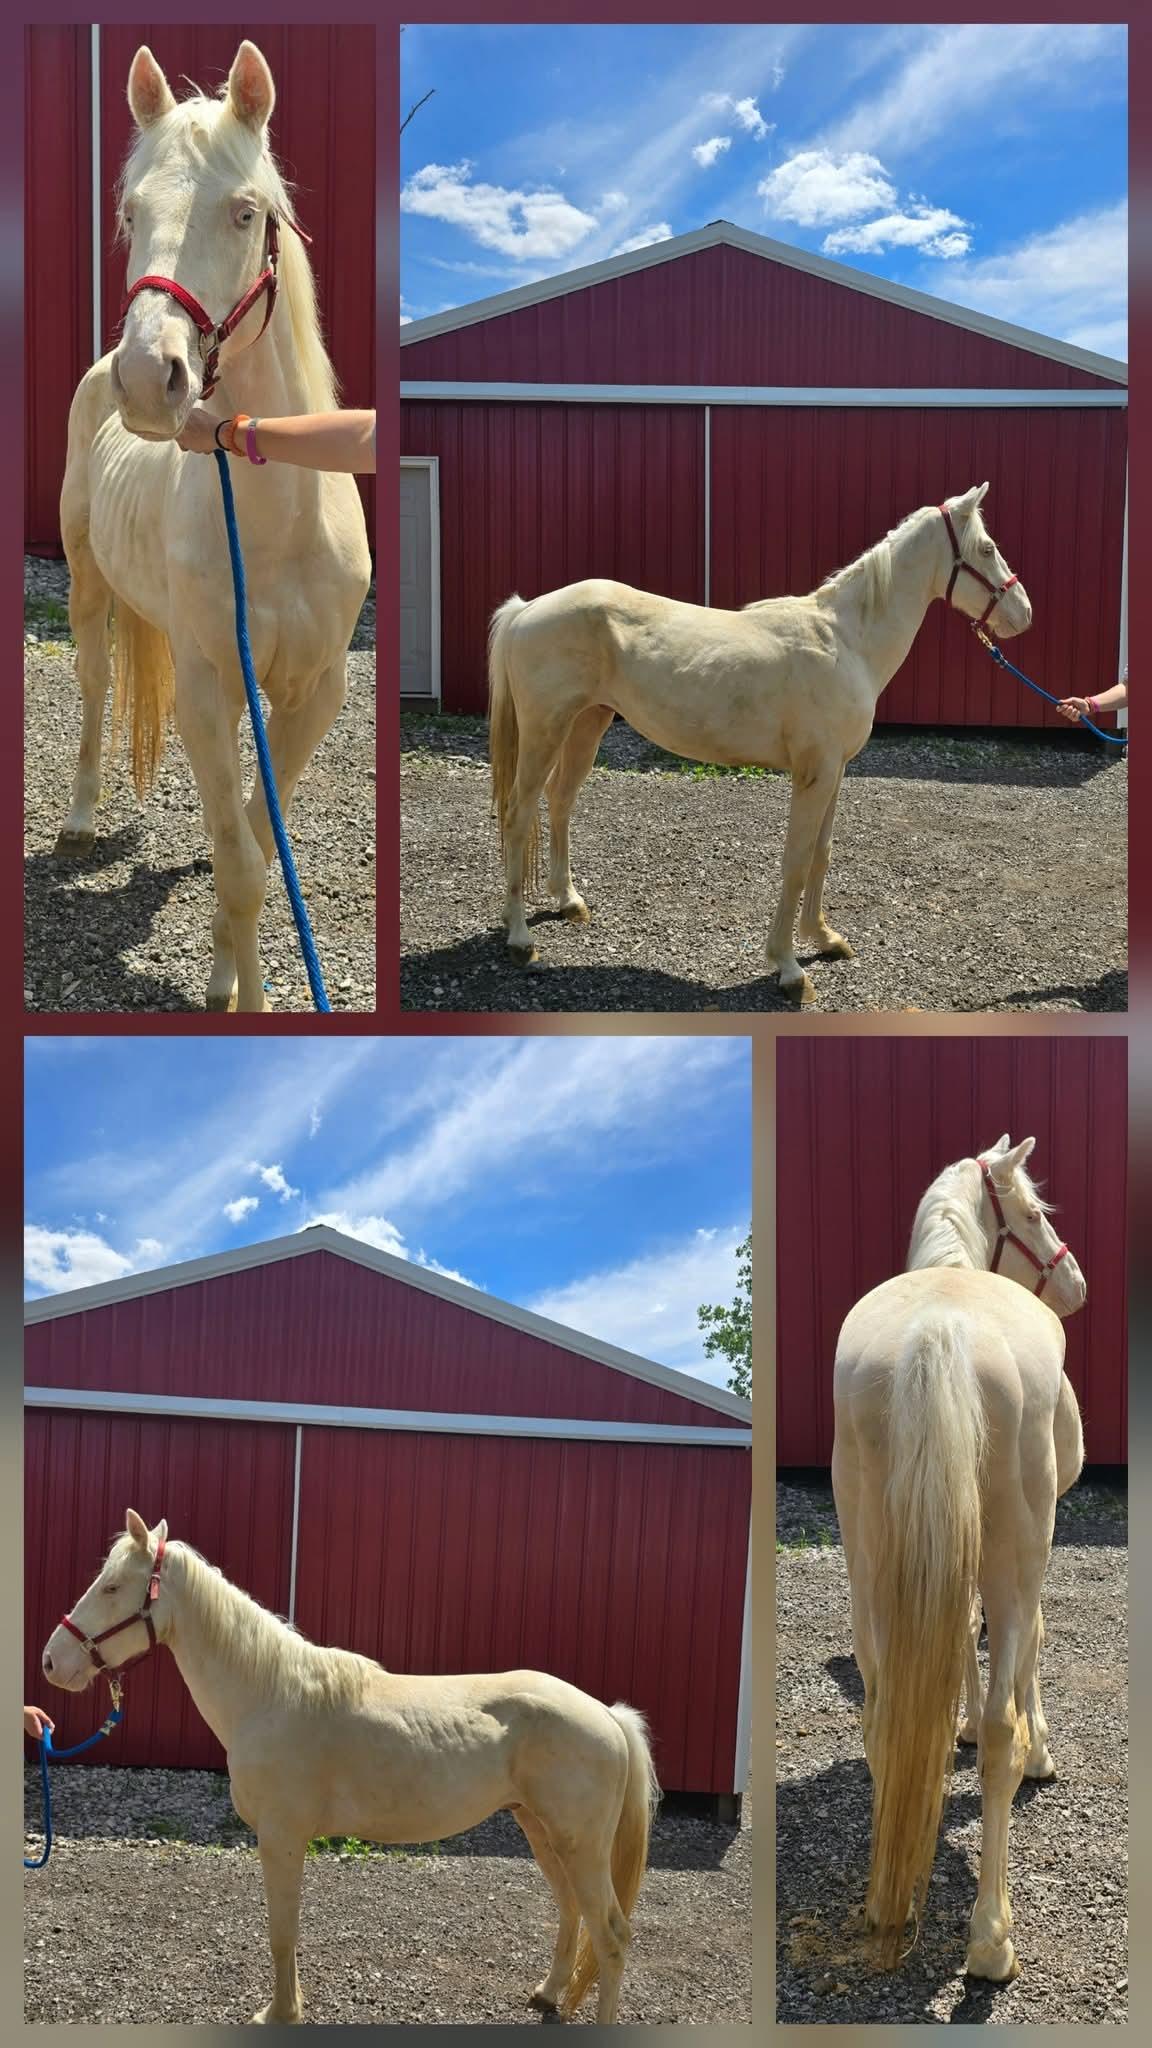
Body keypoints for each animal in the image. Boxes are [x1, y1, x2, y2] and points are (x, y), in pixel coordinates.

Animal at [40, 1510, 660, 2025]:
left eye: (112, 1587)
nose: (52, 1662)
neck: (269, 1696)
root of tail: (607, 1715)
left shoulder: (282, 1838)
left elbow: (281, 1932)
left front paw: (280, 2014)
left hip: (579, 1845)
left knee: (611, 1935)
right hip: (541, 1830)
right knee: (572, 1912)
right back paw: (548, 1995)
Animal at [53, 41, 371, 1012]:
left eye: (246, 212)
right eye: (130, 212)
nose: (149, 379)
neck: (280, 527)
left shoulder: (310, 695)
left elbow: (260, 846)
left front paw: (228, 974)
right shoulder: (201, 680)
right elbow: (245, 872)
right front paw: (243, 997)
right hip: (85, 579)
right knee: (93, 685)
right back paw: (79, 820)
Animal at [488, 483, 1030, 1002]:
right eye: (986, 548)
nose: (1022, 614)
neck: (845, 642)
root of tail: (527, 609)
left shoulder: (835, 771)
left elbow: (820, 854)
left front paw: (824, 938)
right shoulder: (814, 774)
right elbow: (795, 861)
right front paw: (789, 968)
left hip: (587, 723)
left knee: (560, 802)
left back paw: (568, 901)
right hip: (544, 730)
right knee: (518, 815)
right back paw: (520, 938)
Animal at [830, 1134, 1087, 1981]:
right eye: (1036, 1212)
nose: (1074, 1284)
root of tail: (937, 1333)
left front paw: (961, 1723)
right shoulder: (1032, 1545)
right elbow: (1029, 1644)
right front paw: (1039, 1748)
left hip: (869, 1564)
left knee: (883, 1713)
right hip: (1015, 1548)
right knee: (1003, 1717)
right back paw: (991, 1940)